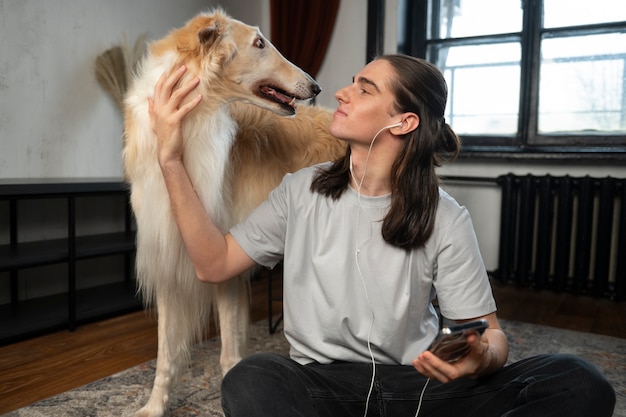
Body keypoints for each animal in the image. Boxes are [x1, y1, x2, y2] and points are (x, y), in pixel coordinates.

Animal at [122, 7, 344, 416]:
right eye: (259, 43)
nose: (316, 86)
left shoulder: (224, 273)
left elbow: (228, 355)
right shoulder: (169, 263)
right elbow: (166, 356)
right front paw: (154, 406)